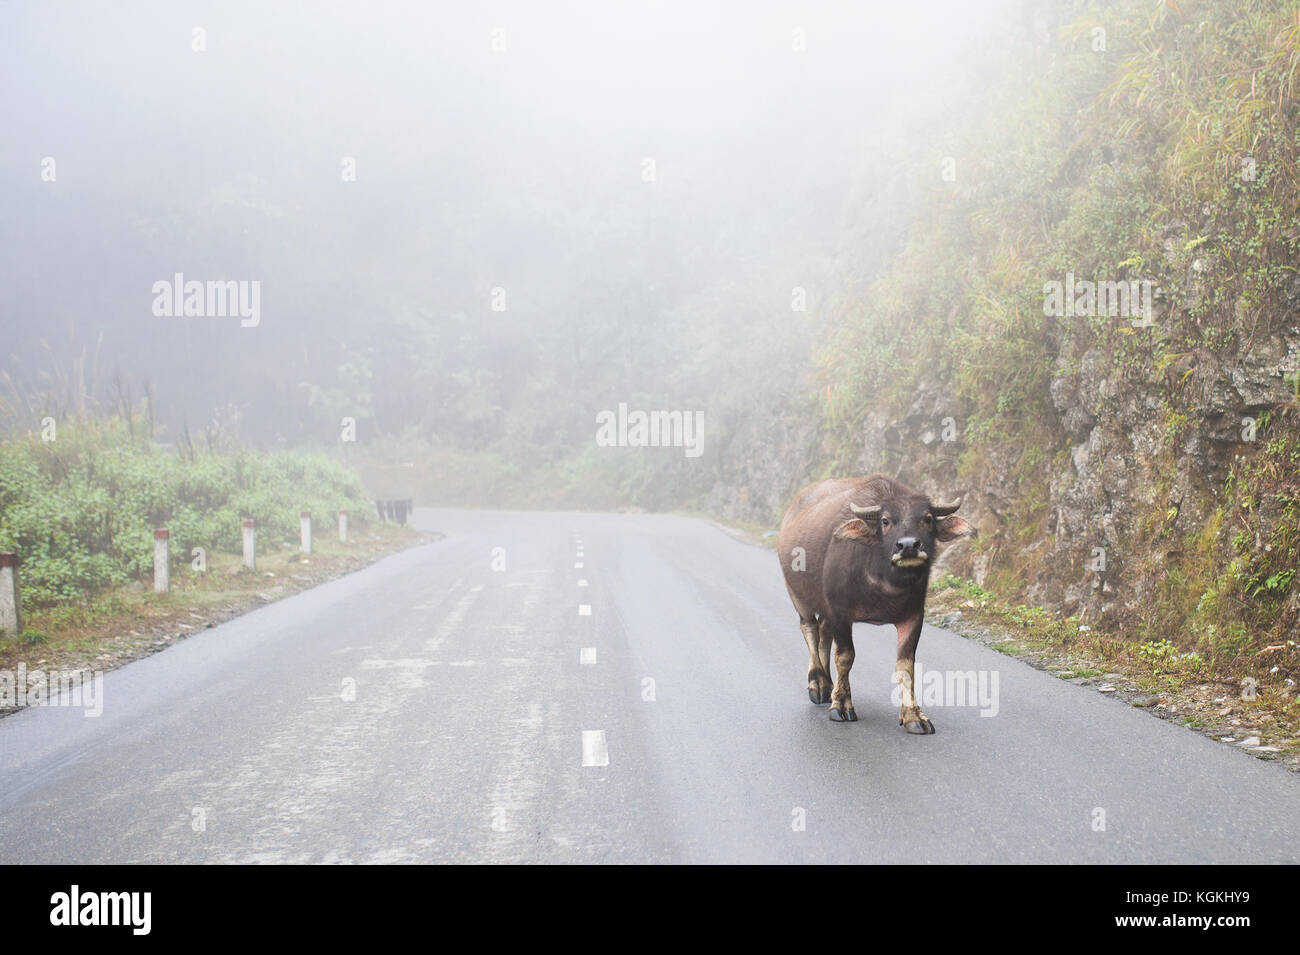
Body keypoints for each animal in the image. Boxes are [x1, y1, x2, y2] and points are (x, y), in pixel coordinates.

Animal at [769, 472, 977, 732]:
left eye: (927, 519)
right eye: (886, 521)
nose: (908, 545)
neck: (883, 581)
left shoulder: (913, 616)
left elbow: (906, 665)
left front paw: (913, 715)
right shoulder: (840, 613)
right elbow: (845, 657)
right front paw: (841, 705)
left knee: (824, 634)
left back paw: (828, 685)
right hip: (798, 594)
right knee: (810, 630)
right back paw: (817, 684)